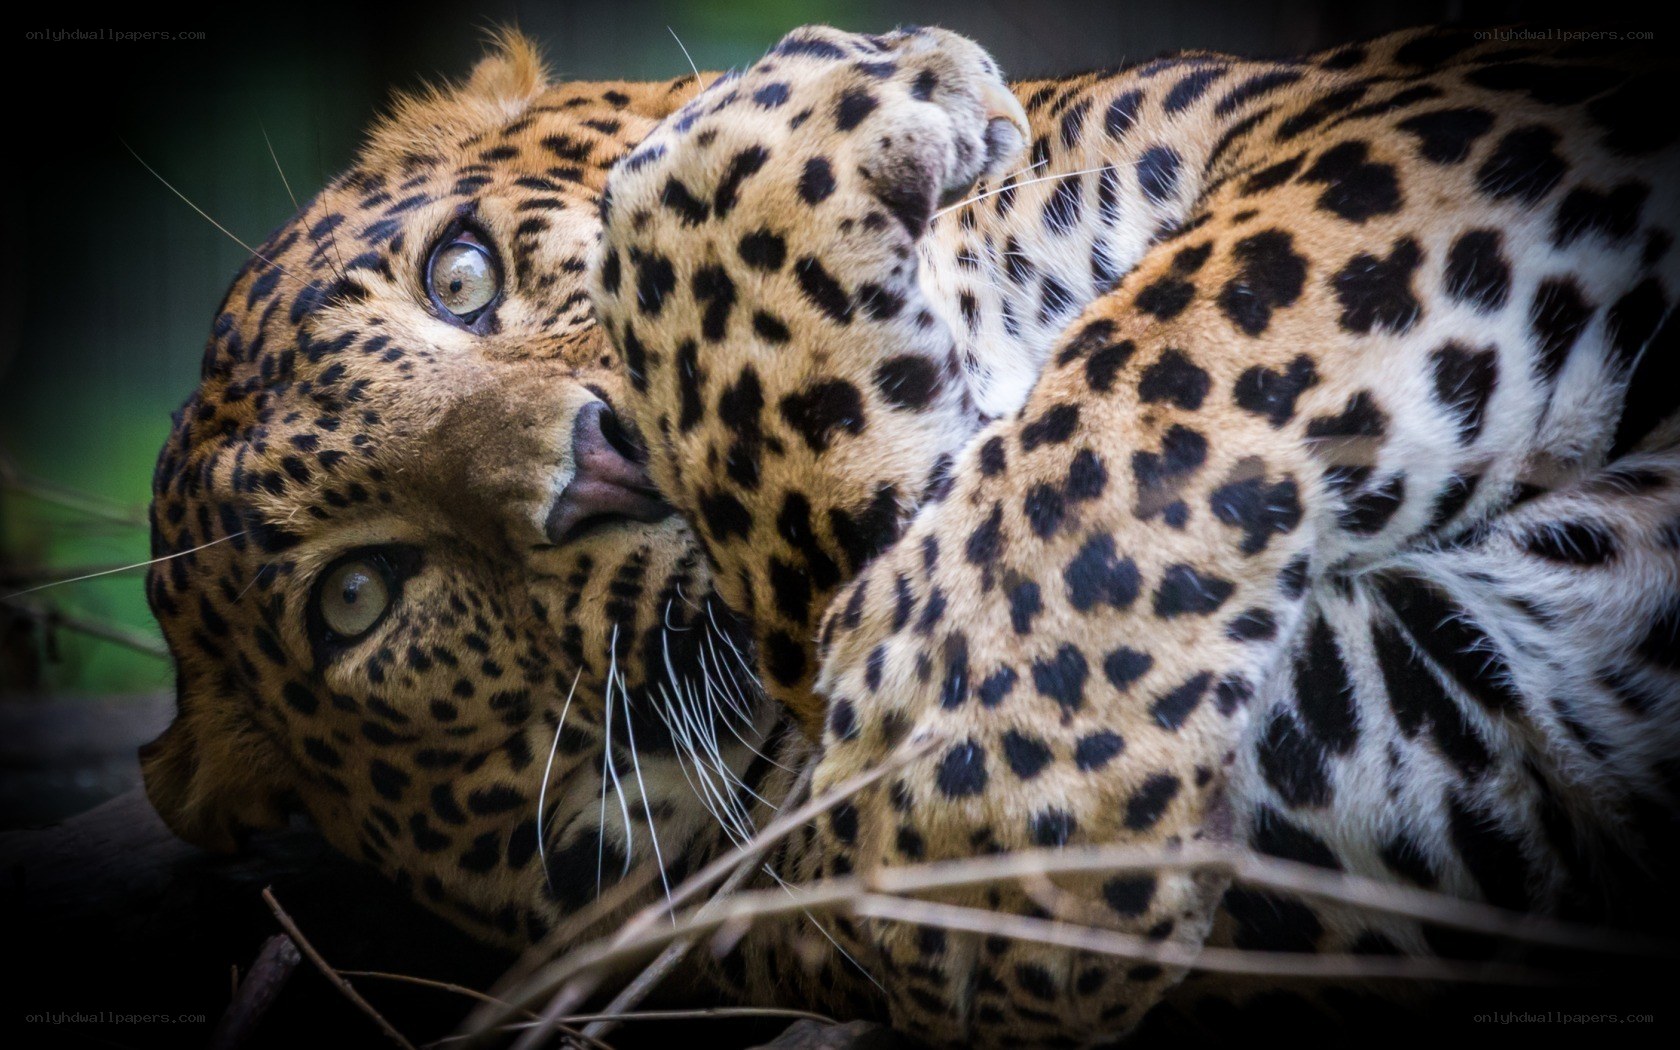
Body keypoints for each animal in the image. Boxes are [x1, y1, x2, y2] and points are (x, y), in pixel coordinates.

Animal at [137, 22, 1680, 1046]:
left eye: (459, 274)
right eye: (355, 597)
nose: (599, 465)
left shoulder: (1404, 118)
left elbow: (1194, 332)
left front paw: (857, 86)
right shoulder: (1443, 725)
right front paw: (981, 778)